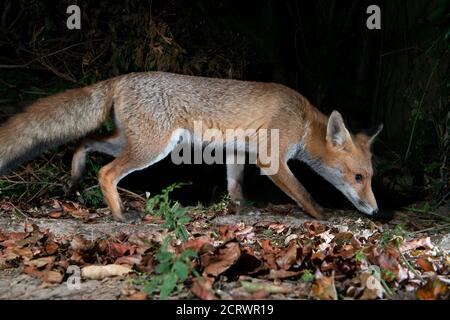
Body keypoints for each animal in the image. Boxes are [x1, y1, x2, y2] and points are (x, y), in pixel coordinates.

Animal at [0, 72, 384, 222]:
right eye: (359, 177)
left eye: (370, 177)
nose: (377, 211)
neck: (302, 120)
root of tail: (122, 78)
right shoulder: (271, 160)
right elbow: (304, 193)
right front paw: (323, 214)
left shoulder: (237, 152)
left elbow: (235, 187)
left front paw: (238, 210)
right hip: (151, 148)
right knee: (107, 173)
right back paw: (120, 214)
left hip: (130, 141)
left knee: (84, 142)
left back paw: (75, 176)